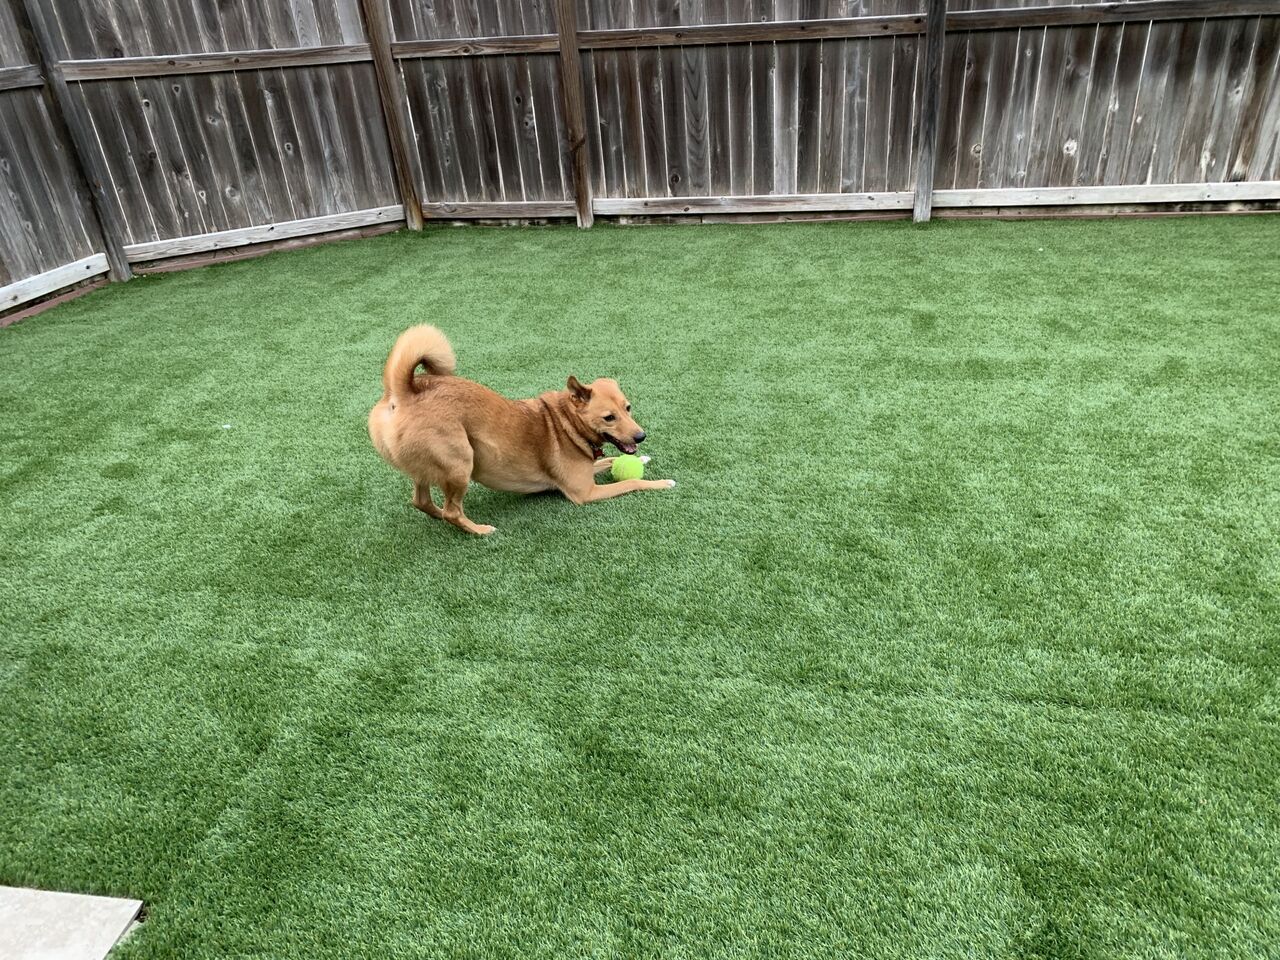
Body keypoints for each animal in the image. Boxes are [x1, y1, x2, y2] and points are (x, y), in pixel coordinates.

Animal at [369, 325, 676, 535]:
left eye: (628, 408)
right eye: (609, 417)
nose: (641, 436)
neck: (566, 423)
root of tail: (405, 391)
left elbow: (611, 459)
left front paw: (641, 458)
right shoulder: (585, 492)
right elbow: (632, 483)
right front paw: (662, 483)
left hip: (429, 466)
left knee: (423, 501)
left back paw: (436, 514)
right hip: (460, 462)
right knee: (452, 511)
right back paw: (479, 530)